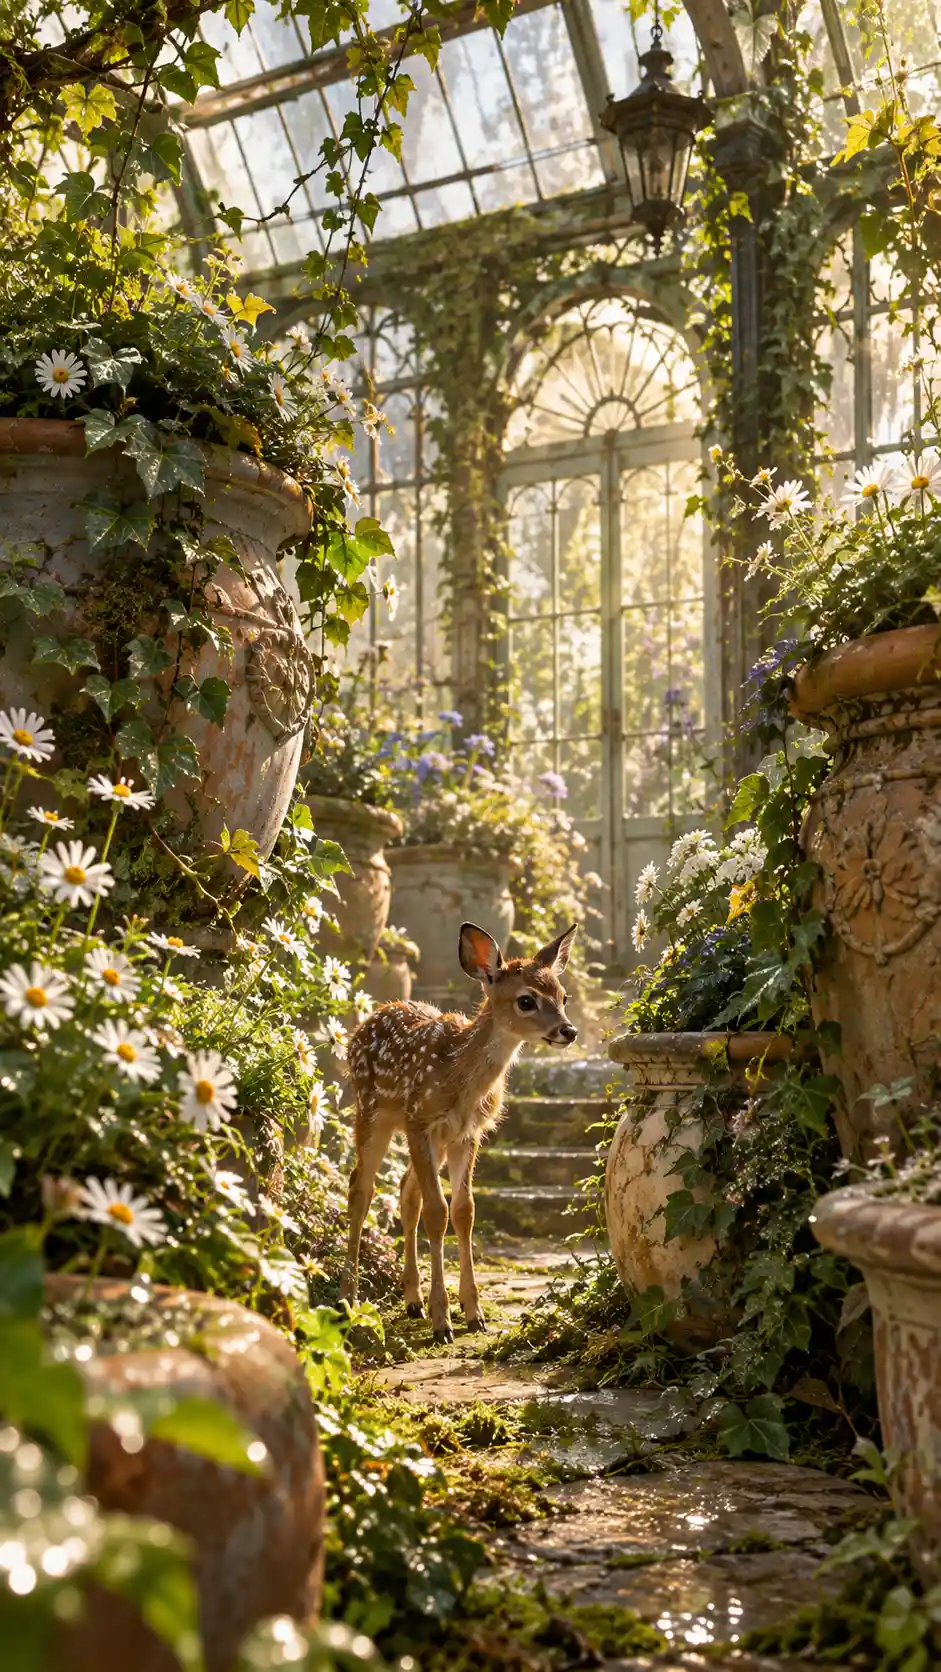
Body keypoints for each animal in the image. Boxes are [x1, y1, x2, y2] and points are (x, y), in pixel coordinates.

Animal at [340, 920, 578, 1342]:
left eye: (563, 996)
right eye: (527, 1000)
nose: (569, 1031)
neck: (460, 1077)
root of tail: (366, 1021)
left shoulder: (468, 1134)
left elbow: (464, 1210)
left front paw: (474, 1313)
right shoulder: (420, 1120)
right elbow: (438, 1212)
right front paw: (443, 1321)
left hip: (424, 1137)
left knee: (405, 1191)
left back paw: (412, 1300)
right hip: (372, 1111)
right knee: (361, 1189)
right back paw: (349, 1299)